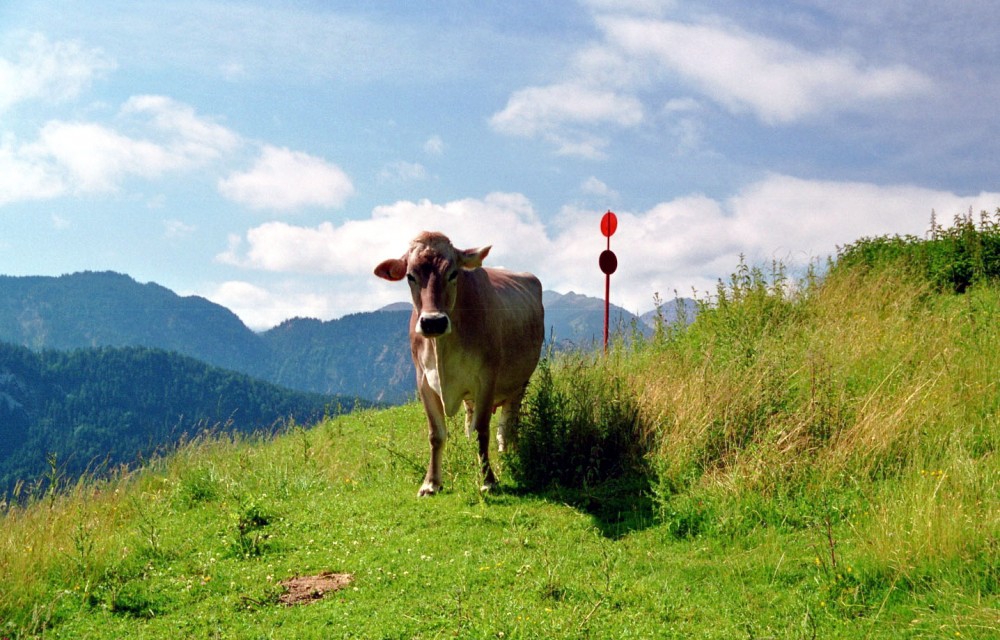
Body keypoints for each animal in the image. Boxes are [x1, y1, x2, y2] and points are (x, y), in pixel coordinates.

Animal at [376, 230, 548, 496]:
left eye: (453, 273)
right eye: (410, 276)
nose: (433, 322)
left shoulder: (486, 378)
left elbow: (482, 429)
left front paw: (488, 480)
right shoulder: (423, 381)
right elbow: (436, 434)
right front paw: (431, 483)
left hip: (521, 381)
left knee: (509, 421)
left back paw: (508, 451)